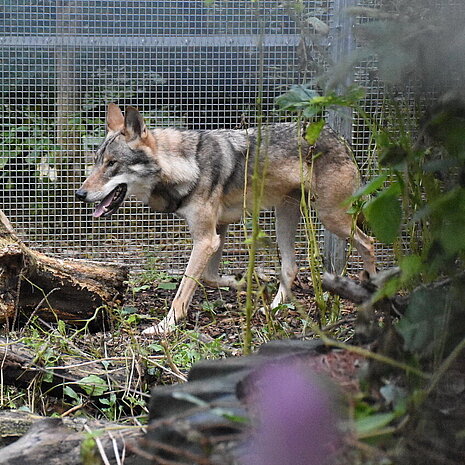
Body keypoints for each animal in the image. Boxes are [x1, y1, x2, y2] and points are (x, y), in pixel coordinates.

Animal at [74, 103, 376, 334]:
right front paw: (244, 282)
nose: (79, 194)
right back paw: (273, 306)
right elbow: (209, 277)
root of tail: (341, 138)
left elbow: (182, 291)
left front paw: (165, 327)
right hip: (285, 218)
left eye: (112, 164)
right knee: (291, 267)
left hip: (330, 218)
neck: (187, 165)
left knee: (369, 243)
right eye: (96, 161)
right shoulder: (218, 232)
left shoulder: (206, 239)